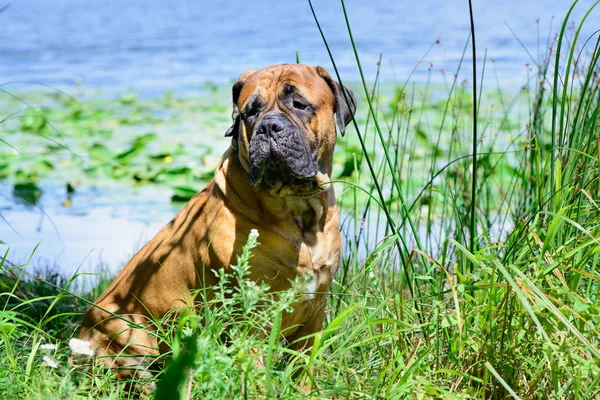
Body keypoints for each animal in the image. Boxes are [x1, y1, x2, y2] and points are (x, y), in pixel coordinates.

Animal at [75, 63, 356, 382]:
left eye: (299, 104)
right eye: (250, 112)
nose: (269, 126)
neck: (298, 211)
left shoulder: (315, 312)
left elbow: (303, 366)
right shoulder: (252, 316)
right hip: (126, 326)